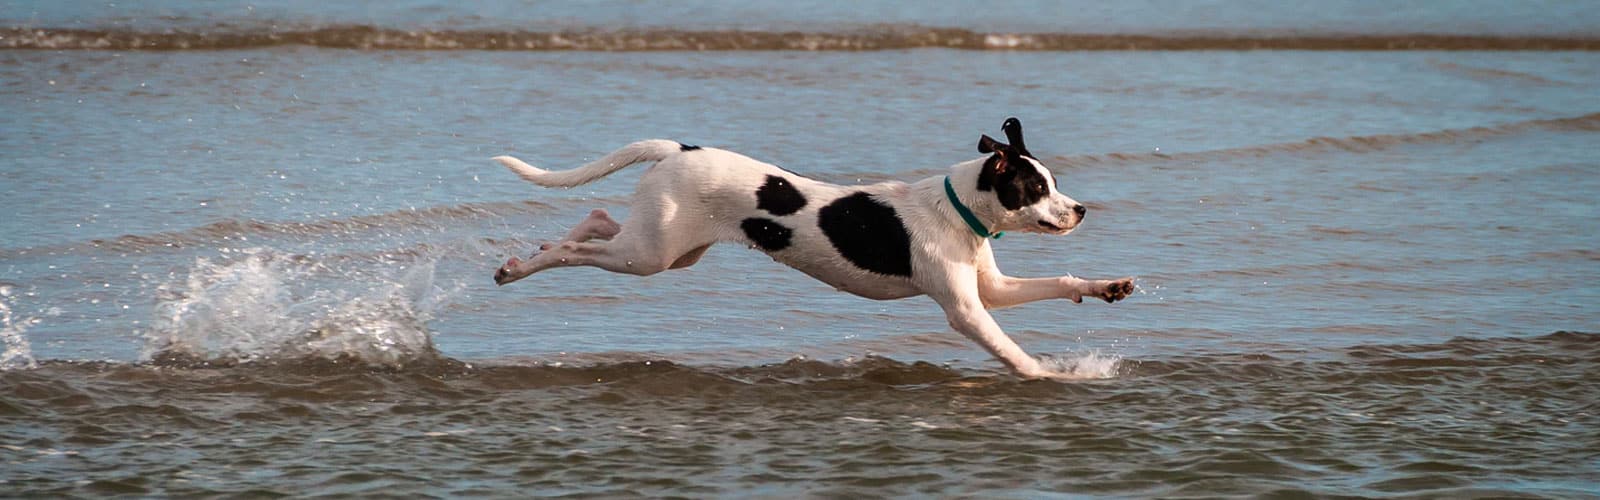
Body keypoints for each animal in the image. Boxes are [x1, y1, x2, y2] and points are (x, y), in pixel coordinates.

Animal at [492, 117, 1132, 378]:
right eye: (1036, 188)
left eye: (1052, 182)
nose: (1080, 210)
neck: (954, 211)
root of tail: (677, 149)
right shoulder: (968, 311)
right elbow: (1008, 348)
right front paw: (1053, 376)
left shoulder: (992, 291)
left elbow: (1059, 284)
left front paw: (1107, 286)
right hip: (649, 256)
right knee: (573, 253)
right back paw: (520, 266)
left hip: (669, 249)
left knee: (598, 219)